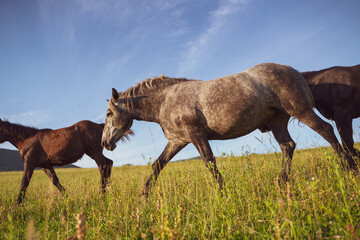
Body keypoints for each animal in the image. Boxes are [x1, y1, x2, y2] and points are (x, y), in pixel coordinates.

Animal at [0, 119, 132, 203]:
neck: (26, 139)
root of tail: (100, 126)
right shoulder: (45, 166)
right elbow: (55, 180)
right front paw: (67, 197)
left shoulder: (29, 163)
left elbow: (24, 183)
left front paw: (17, 204)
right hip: (92, 153)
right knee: (109, 164)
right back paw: (107, 192)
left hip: (94, 152)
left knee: (104, 166)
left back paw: (102, 195)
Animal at [100, 62, 352, 198]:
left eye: (109, 114)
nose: (104, 143)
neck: (166, 100)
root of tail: (295, 71)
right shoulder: (177, 141)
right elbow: (157, 166)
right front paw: (143, 196)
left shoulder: (196, 135)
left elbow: (210, 162)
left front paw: (223, 193)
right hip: (277, 122)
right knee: (288, 146)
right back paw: (281, 183)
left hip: (300, 110)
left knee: (327, 131)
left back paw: (349, 168)